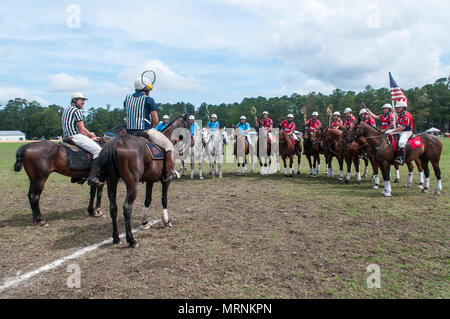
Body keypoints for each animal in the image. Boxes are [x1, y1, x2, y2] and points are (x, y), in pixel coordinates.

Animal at [98, 114, 190, 248]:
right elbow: (164, 200)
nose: (192, 141)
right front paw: (166, 221)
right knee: (127, 208)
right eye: (188, 125)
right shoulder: (166, 181)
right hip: (132, 184)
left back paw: (116, 238)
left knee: (113, 207)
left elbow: (147, 200)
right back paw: (131, 240)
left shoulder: (149, 180)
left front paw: (145, 222)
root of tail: (114, 144)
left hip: (111, 182)